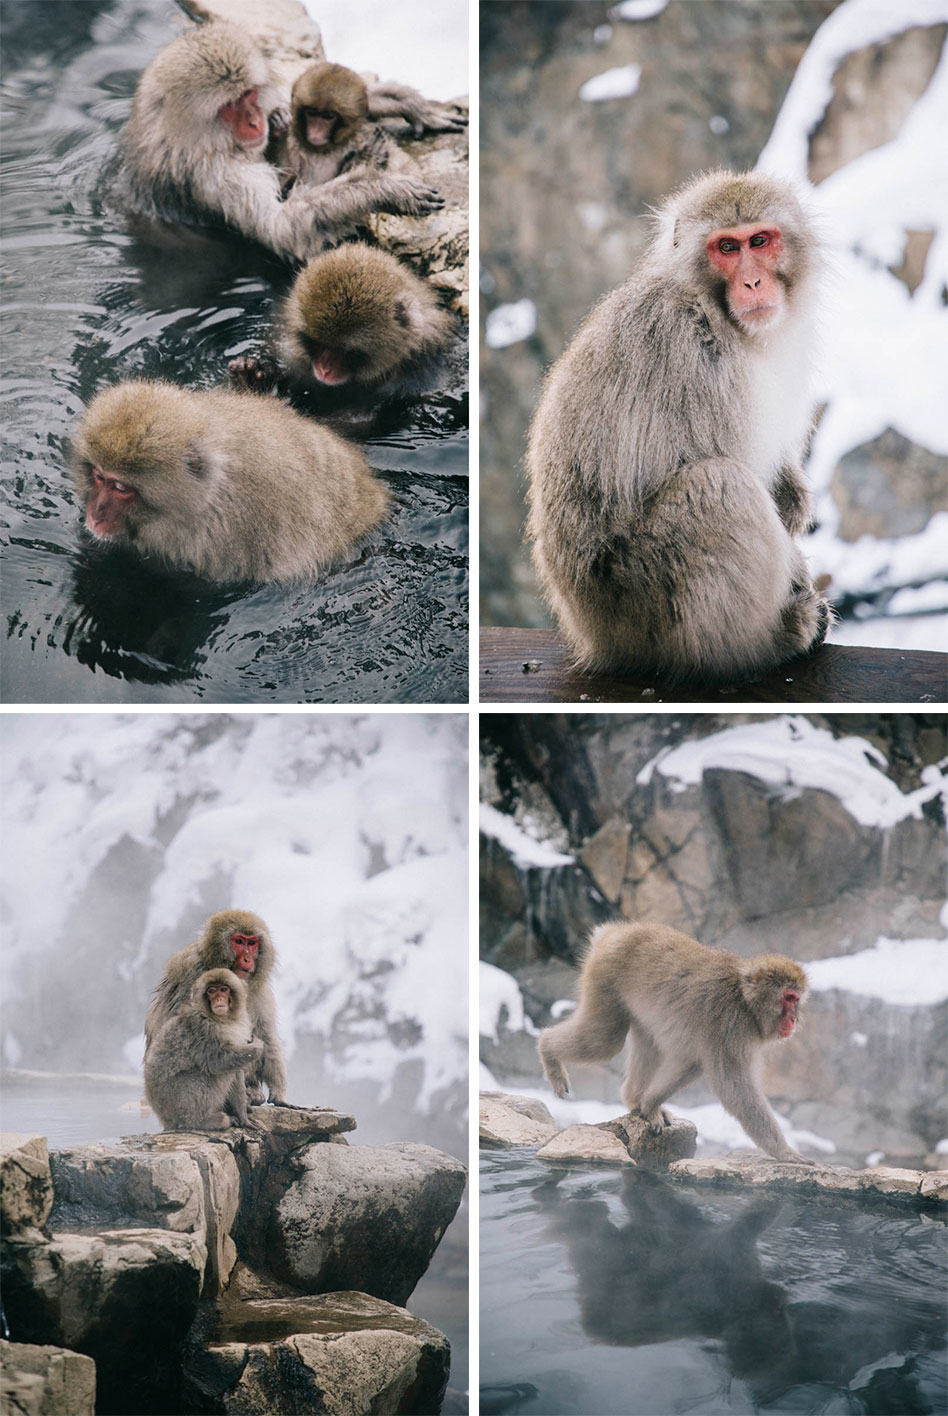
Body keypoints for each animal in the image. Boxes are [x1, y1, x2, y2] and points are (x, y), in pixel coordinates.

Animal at [113, 22, 444, 264]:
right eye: (229, 106)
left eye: (248, 94)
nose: (254, 122)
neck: (187, 136)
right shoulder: (214, 174)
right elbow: (281, 229)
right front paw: (384, 189)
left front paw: (398, 101)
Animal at [144, 968, 264, 1131]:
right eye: (211, 991)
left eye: (223, 989)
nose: (218, 999)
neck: (223, 1020)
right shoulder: (203, 1029)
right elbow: (217, 1062)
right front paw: (257, 1047)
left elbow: (236, 1071)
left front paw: (243, 1116)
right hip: (174, 1101)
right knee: (208, 1076)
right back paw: (202, 1121)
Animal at [145, 909, 288, 1107]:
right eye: (239, 941)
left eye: (252, 942)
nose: (247, 959)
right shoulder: (193, 974)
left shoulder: (259, 991)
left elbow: (265, 1033)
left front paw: (279, 1091)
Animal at [525, 169, 832, 683]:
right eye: (726, 248)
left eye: (760, 240)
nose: (752, 281)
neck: (719, 315)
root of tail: (591, 635)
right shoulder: (697, 358)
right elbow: (735, 465)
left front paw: (793, 497)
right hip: (637, 596)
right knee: (720, 485)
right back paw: (765, 643)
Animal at [538, 920, 814, 1166]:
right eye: (788, 998)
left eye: (796, 1000)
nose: (794, 1019)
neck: (744, 1000)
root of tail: (617, 931)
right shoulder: (729, 1026)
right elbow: (733, 1086)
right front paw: (783, 1151)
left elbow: (692, 1063)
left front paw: (650, 1104)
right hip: (605, 974)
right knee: (605, 1041)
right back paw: (547, 1049)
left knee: (648, 1044)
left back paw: (635, 1099)